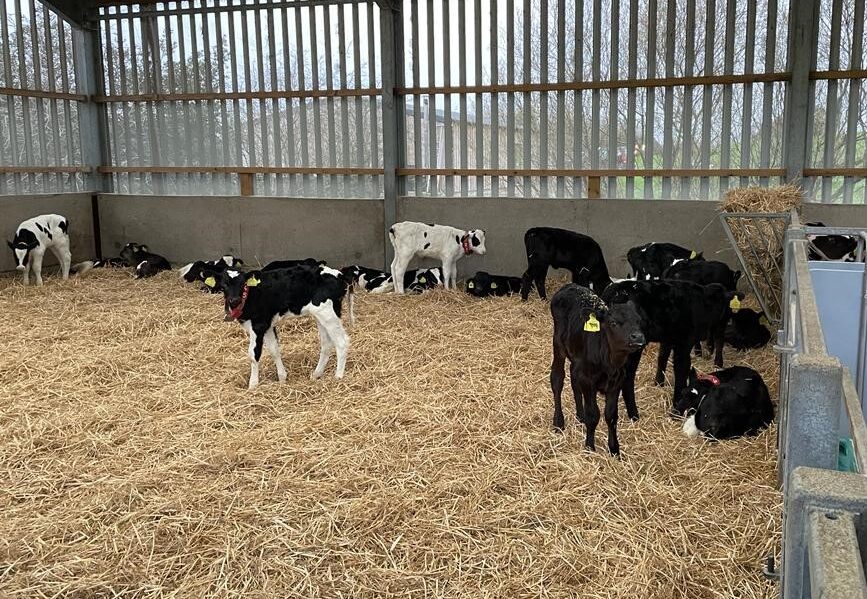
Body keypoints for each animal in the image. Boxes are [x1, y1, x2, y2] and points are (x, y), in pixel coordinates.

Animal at [219, 264, 354, 389]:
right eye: (224, 285)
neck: (250, 296)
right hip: (321, 316)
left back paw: (338, 377)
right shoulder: (268, 326)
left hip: (328, 314)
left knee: (342, 342)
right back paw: (316, 374)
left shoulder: (258, 326)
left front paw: (253, 385)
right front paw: (282, 378)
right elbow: (274, 350)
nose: (234, 300)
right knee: (327, 343)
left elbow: (254, 354)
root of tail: (339, 274)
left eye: (243, 284)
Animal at [550, 283, 646, 456]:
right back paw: (559, 422)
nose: (638, 337)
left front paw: (614, 449)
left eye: (639, 321)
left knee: (574, 378)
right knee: (557, 379)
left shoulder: (616, 382)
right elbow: (593, 414)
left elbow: (611, 415)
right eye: (613, 323)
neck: (610, 363)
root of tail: (570, 285)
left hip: (577, 360)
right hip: (558, 344)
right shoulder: (588, 381)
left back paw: (579, 416)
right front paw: (589, 447)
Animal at [602, 279, 743, 418]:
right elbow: (681, 370)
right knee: (628, 378)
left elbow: (662, 357)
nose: (726, 319)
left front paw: (659, 382)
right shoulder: (683, 343)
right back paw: (634, 415)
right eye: (724, 305)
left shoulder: (668, 338)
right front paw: (677, 407)